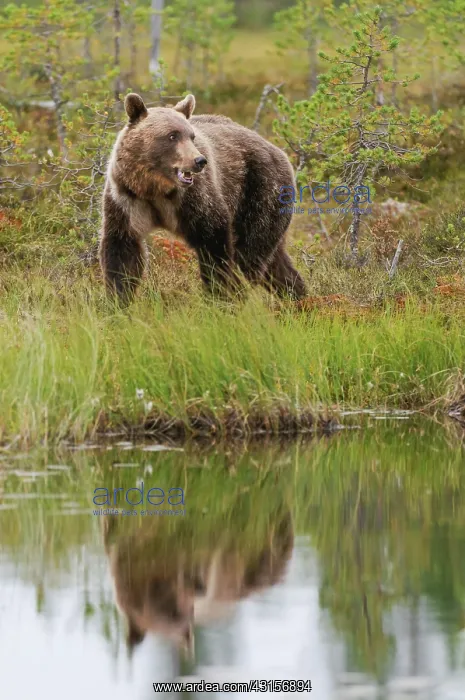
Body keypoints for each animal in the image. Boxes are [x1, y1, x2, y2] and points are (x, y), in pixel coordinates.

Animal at [99, 92, 307, 303]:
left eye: (191, 136)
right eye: (172, 135)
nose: (199, 161)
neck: (156, 188)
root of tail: (278, 150)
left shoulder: (194, 199)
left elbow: (214, 242)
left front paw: (220, 293)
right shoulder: (127, 199)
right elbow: (123, 253)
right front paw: (117, 299)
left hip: (261, 192)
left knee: (250, 254)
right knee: (275, 262)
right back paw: (298, 296)